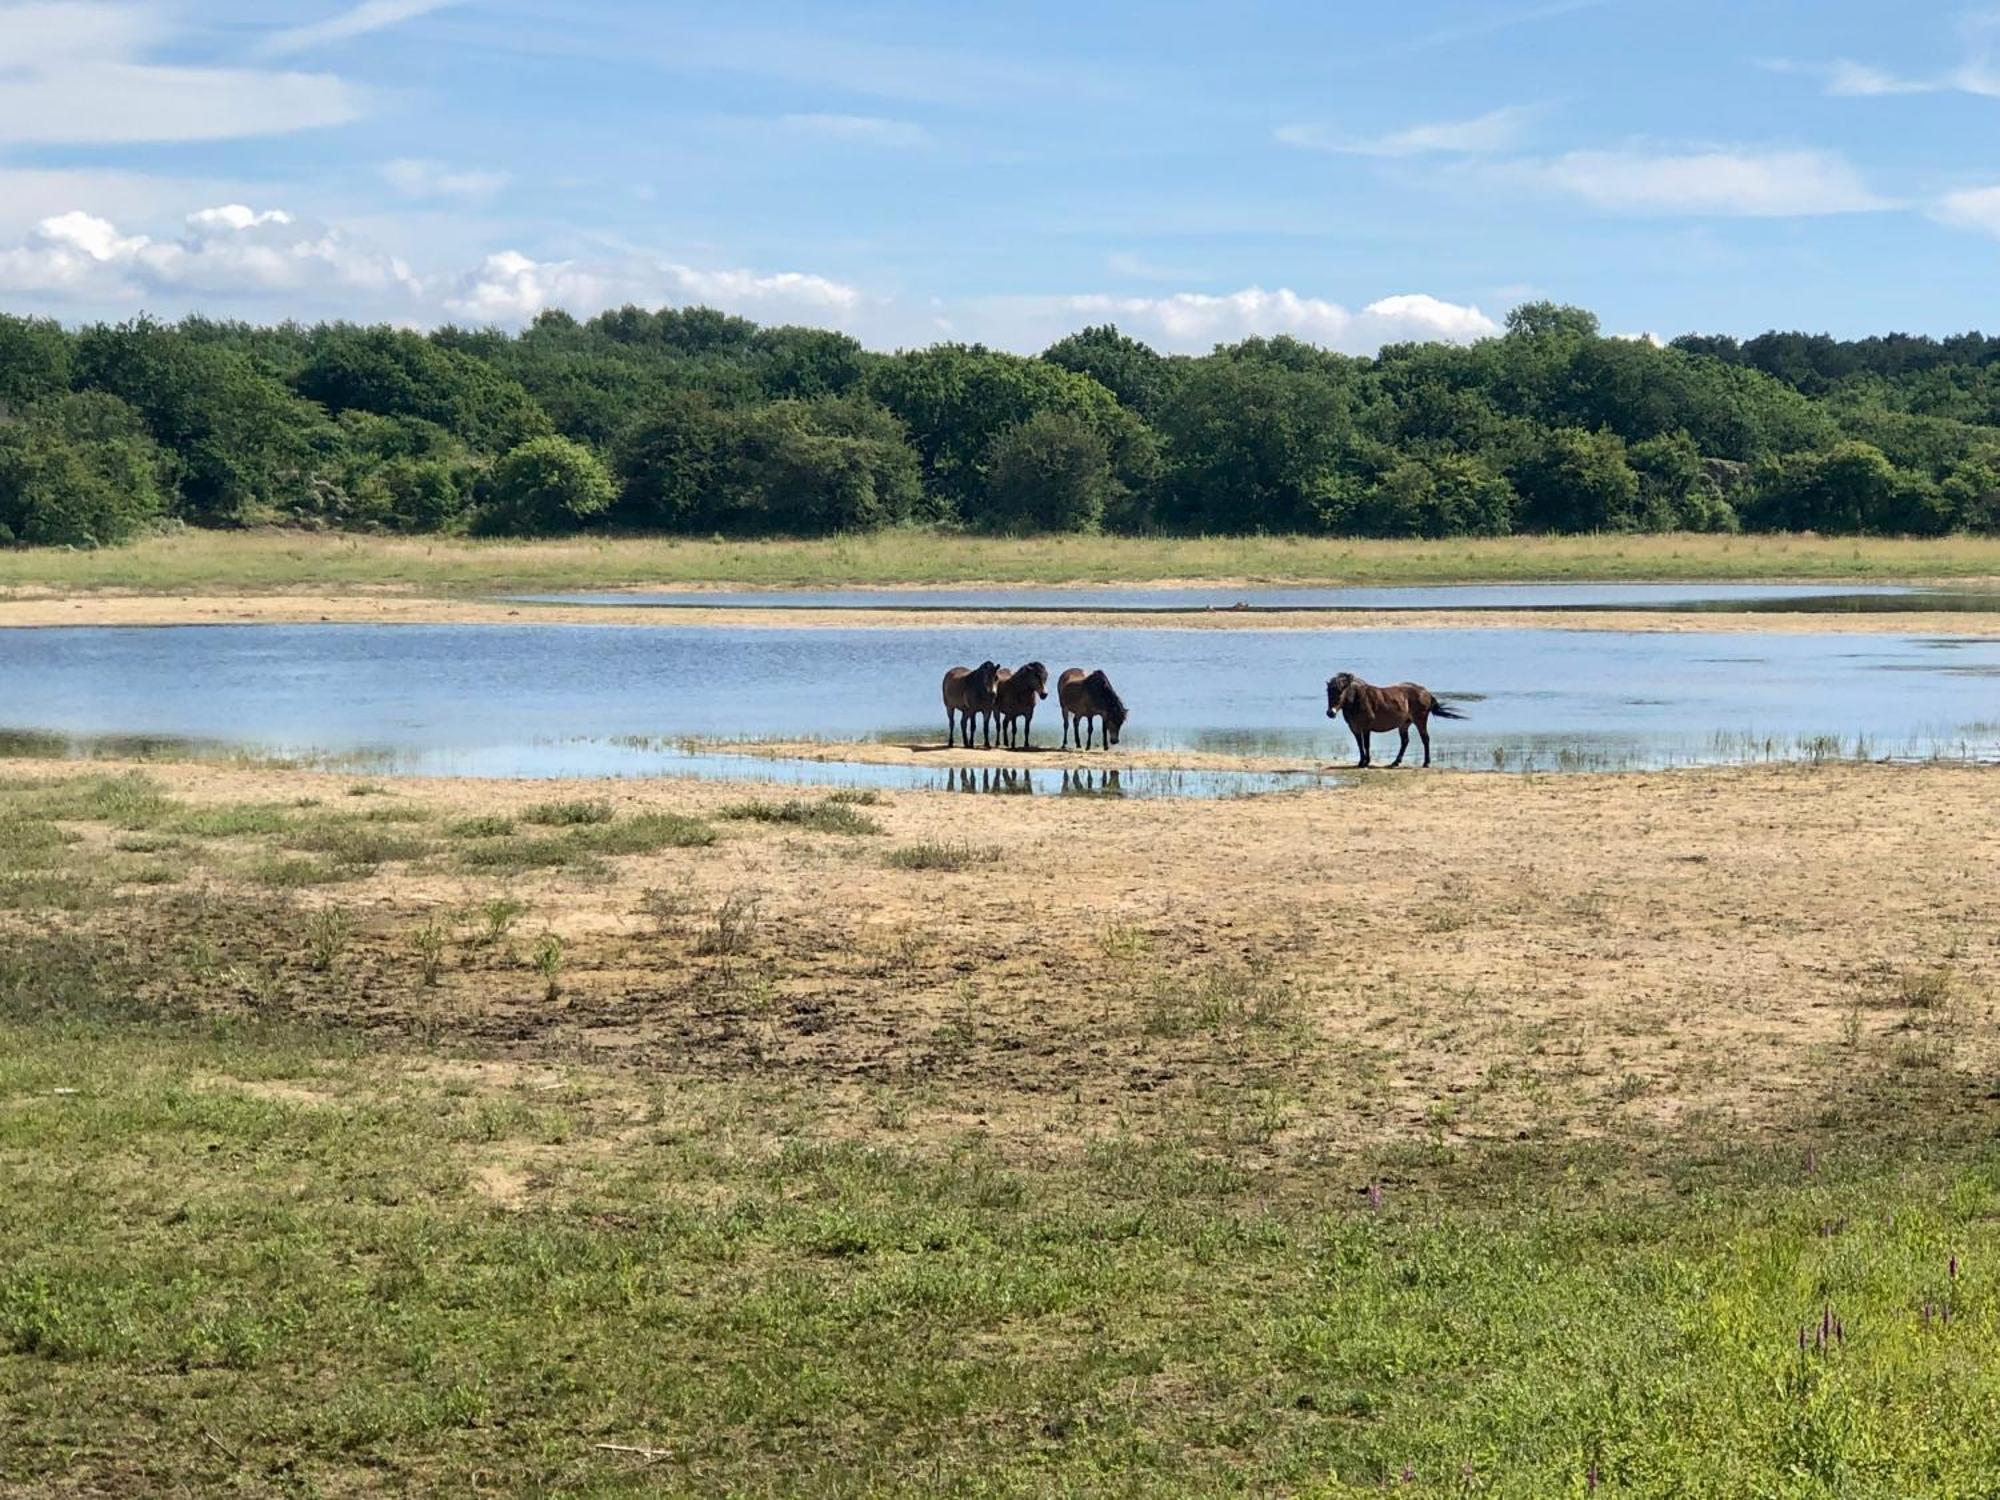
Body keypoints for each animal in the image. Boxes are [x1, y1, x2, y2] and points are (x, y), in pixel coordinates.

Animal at [1328, 680, 1472, 776]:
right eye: (1328, 692)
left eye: (1340, 692)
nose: (1330, 713)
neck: (1357, 699)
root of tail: (1426, 693)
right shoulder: (1355, 729)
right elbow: (1360, 745)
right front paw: (1360, 762)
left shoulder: (1366, 728)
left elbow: (1366, 745)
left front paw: (1366, 762)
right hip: (1404, 724)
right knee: (1405, 741)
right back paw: (1395, 762)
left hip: (1420, 721)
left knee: (1425, 739)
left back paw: (1426, 763)